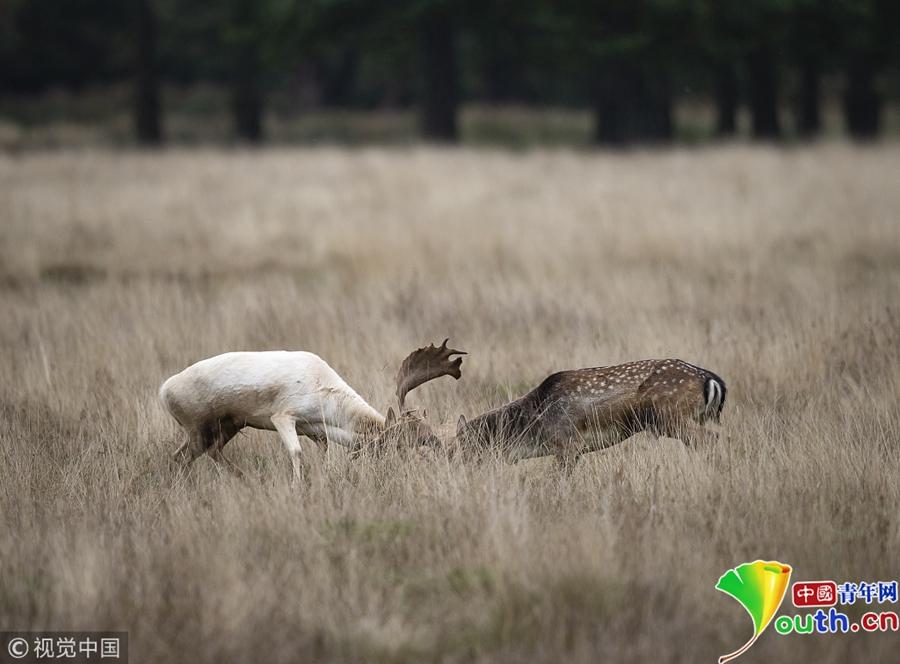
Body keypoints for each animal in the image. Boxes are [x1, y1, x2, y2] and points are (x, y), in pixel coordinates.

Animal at [158, 340, 466, 480]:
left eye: (430, 435)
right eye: (403, 441)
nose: (440, 454)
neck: (323, 390)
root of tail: (164, 390)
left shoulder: (316, 431)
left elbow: (325, 453)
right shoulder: (283, 416)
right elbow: (295, 452)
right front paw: (297, 487)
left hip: (226, 427)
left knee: (199, 454)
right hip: (197, 428)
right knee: (182, 455)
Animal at [453, 358, 727, 469]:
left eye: (467, 446)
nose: (459, 469)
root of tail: (712, 380)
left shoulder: (567, 443)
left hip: (670, 415)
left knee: (711, 439)